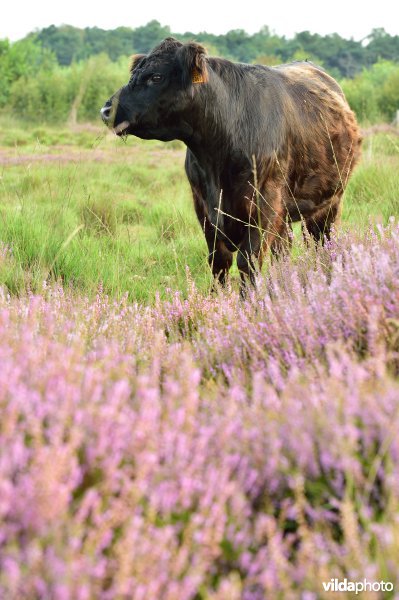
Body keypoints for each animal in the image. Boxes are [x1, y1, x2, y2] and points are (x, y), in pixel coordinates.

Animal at [101, 37, 362, 292]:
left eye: (156, 77)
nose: (106, 110)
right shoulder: (204, 208)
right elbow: (219, 262)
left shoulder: (264, 205)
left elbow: (248, 262)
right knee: (283, 250)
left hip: (328, 204)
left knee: (322, 243)